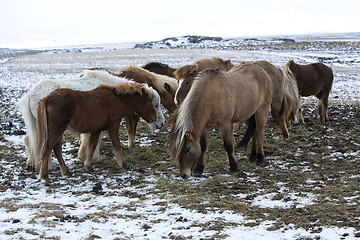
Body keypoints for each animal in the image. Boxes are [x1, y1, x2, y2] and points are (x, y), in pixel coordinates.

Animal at [35, 81, 165, 183]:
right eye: (150, 102)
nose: (155, 119)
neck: (116, 99)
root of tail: (48, 98)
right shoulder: (113, 125)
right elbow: (116, 145)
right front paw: (124, 165)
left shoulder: (96, 130)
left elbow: (92, 146)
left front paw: (88, 166)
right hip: (56, 130)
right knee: (47, 149)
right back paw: (45, 176)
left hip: (58, 131)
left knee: (56, 149)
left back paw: (65, 171)